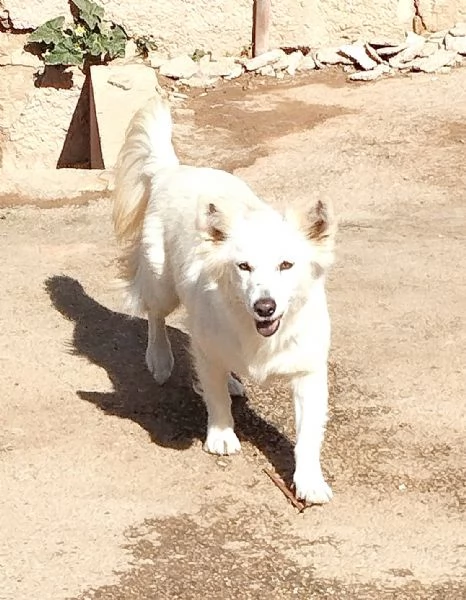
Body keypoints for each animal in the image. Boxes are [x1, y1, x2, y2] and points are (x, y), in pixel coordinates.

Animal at [114, 96, 336, 504]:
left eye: (286, 265)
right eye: (243, 267)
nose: (265, 306)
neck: (259, 337)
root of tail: (174, 170)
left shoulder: (308, 372)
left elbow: (308, 434)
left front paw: (310, 480)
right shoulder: (206, 347)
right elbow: (214, 394)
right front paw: (221, 435)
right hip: (162, 284)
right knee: (154, 315)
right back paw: (160, 359)